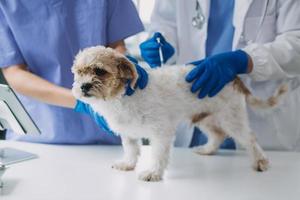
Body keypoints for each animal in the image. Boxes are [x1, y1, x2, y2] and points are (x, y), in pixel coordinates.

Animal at [71, 46, 288, 182]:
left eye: (99, 71)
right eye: (78, 73)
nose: (83, 86)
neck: (123, 98)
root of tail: (232, 76)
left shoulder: (161, 132)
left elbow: (158, 154)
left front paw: (153, 173)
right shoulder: (128, 133)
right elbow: (132, 150)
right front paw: (128, 164)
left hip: (231, 118)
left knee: (250, 138)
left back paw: (260, 162)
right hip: (205, 118)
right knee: (218, 134)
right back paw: (207, 150)